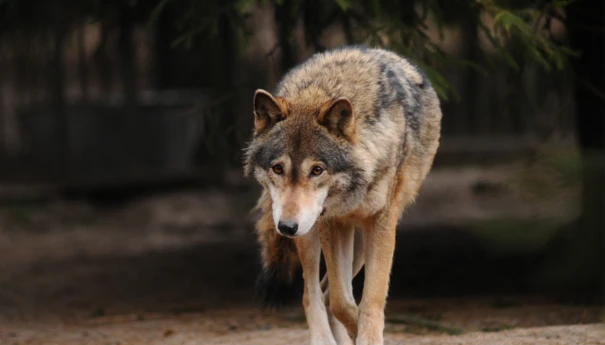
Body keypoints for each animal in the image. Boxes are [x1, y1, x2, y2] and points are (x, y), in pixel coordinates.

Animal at [243, 45, 442, 344]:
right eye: (278, 168)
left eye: (317, 170)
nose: (286, 227)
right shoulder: (330, 222)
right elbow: (341, 301)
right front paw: (356, 331)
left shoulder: (382, 222)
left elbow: (369, 300)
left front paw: (367, 336)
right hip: (311, 234)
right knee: (313, 293)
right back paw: (325, 338)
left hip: (358, 242)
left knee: (325, 292)